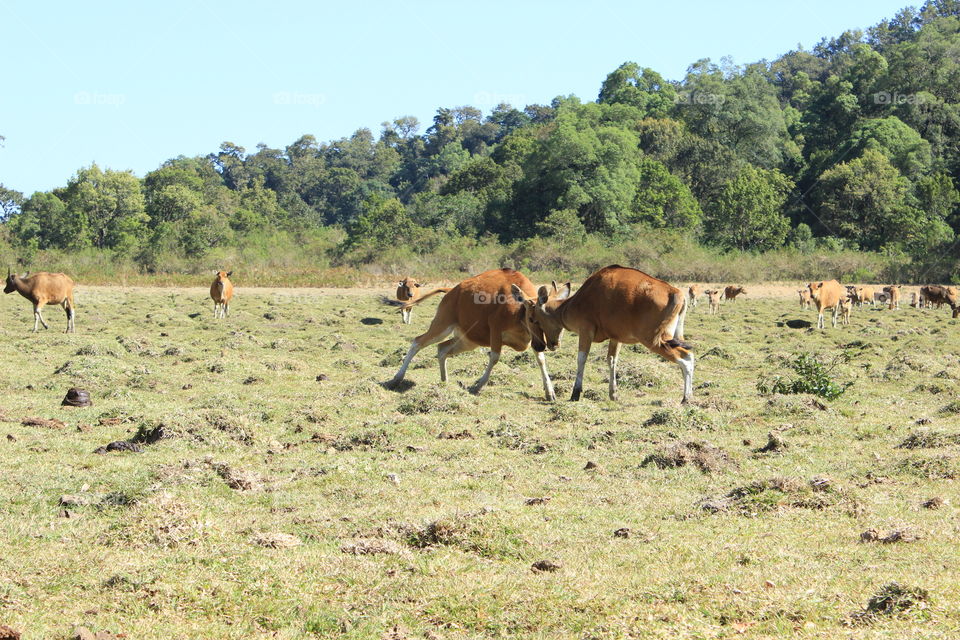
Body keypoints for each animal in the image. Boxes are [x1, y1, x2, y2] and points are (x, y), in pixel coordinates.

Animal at [385, 268, 561, 400]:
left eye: (552, 319)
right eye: (532, 319)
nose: (551, 344)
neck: (518, 312)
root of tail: (452, 291)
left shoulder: (534, 340)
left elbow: (541, 360)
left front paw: (550, 391)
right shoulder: (496, 333)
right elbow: (494, 358)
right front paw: (478, 386)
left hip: (468, 341)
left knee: (442, 348)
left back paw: (444, 382)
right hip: (442, 325)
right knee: (418, 342)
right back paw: (397, 378)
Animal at [513, 265, 694, 404]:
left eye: (532, 319)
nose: (546, 345)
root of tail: (676, 293)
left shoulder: (585, 332)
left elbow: (581, 359)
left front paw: (575, 393)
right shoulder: (616, 338)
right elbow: (612, 360)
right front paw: (613, 393)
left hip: (655, 340)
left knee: (686, 358)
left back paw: (686, 398)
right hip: (673, 338)